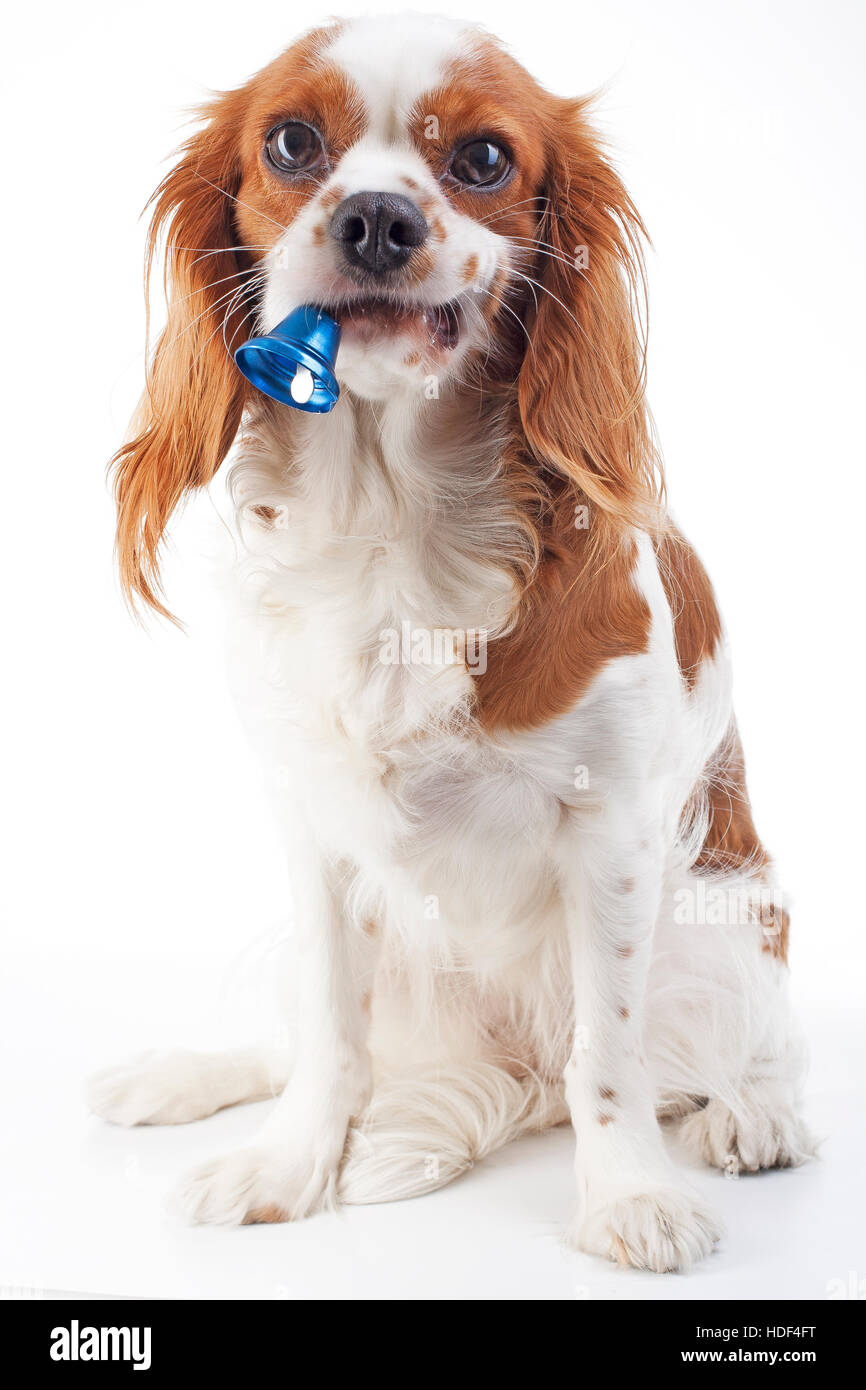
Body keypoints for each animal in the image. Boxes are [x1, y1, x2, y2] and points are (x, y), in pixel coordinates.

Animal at [88, 13, 811, 1273]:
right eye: (290, 142)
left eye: (480, 158)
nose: (377, 217)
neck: (392, 518)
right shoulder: (311, 825)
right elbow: (331, 1033)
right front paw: (287, 1164)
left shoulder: (613, 836)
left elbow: (607, 1058)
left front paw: (626, 1194)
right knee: (301, 1039)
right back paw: (180, 1076)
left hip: (725, 929)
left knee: (739, 1051)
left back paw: (751, 1116)